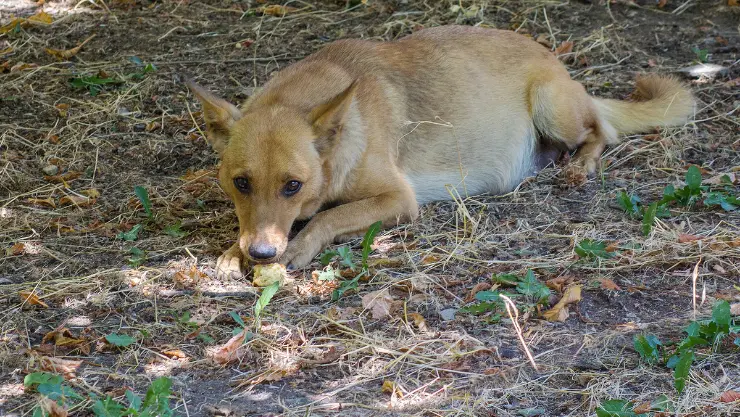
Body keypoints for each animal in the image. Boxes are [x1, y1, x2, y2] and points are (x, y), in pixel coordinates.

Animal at [186, 24, 692, 274]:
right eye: (241, 183)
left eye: (293, 185)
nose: (261, 256)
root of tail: (556, 61)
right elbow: (253, 224)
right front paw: (233, 251)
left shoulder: (398, 199)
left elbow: (327, 217)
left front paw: (298, 246)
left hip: (553, 105)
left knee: (600, 131)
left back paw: (578, 166)